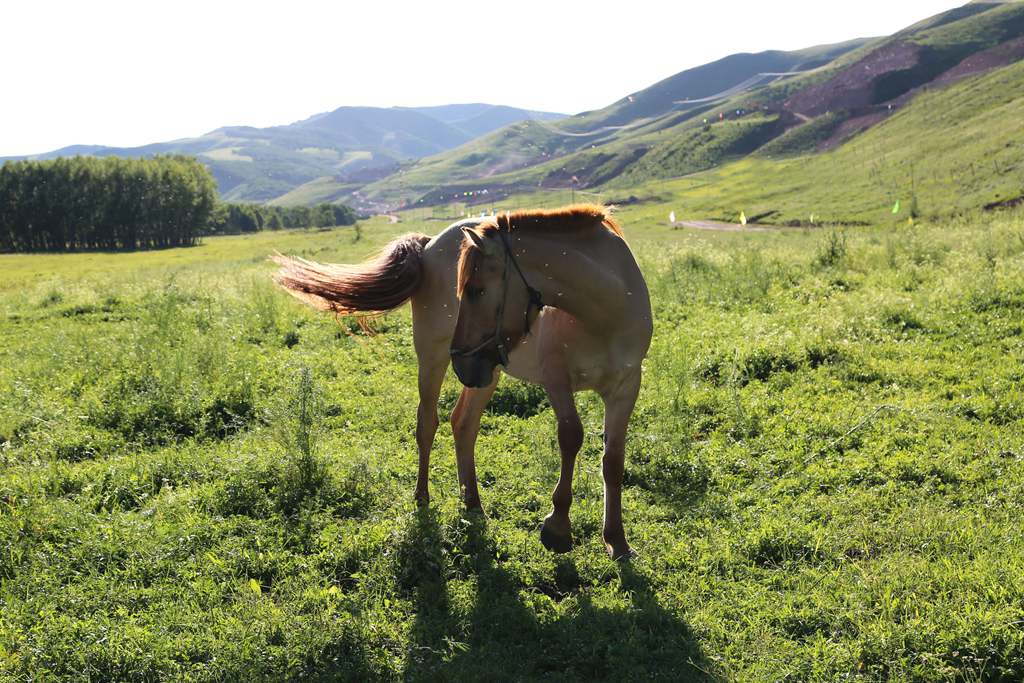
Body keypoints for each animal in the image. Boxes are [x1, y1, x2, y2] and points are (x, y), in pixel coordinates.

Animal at [272, 204, 651, 561]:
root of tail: (428, 246)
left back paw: (473, 503)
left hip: (487, 372)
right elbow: (571, 437)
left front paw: (616, 540)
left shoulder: (626, 389)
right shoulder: (556, 380)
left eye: (475, 290)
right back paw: (422, 498)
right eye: (465, 290)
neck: (603, 315)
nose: (461, 360)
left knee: (463, 424)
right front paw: (557, 527)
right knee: (427, 423)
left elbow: (613, 461)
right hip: (434, 358)